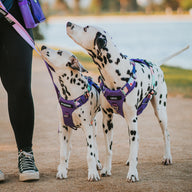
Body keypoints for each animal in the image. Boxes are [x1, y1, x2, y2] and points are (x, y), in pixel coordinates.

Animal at [40, 45, 102, 181]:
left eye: (59, 52)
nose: (42, 46)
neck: (70, 92)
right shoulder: (63, 127)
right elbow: (63, 153)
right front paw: (62, 171)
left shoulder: (87, 127)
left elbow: (90, 153)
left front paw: (93, 172)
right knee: (68, 147)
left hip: (93, 127)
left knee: (95, 146)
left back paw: (98, 163)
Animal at [66, 21, 172, 182]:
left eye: (85, 28)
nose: (68, 23)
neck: (114, 72)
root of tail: (156, 65)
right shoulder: (107, 121)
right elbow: (109, 149)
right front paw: (106, 169)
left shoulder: (132, 119)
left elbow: (135, 149)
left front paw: (133, 173)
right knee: (134, 140)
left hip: (159, 112)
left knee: (165, 134)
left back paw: (167, 157)